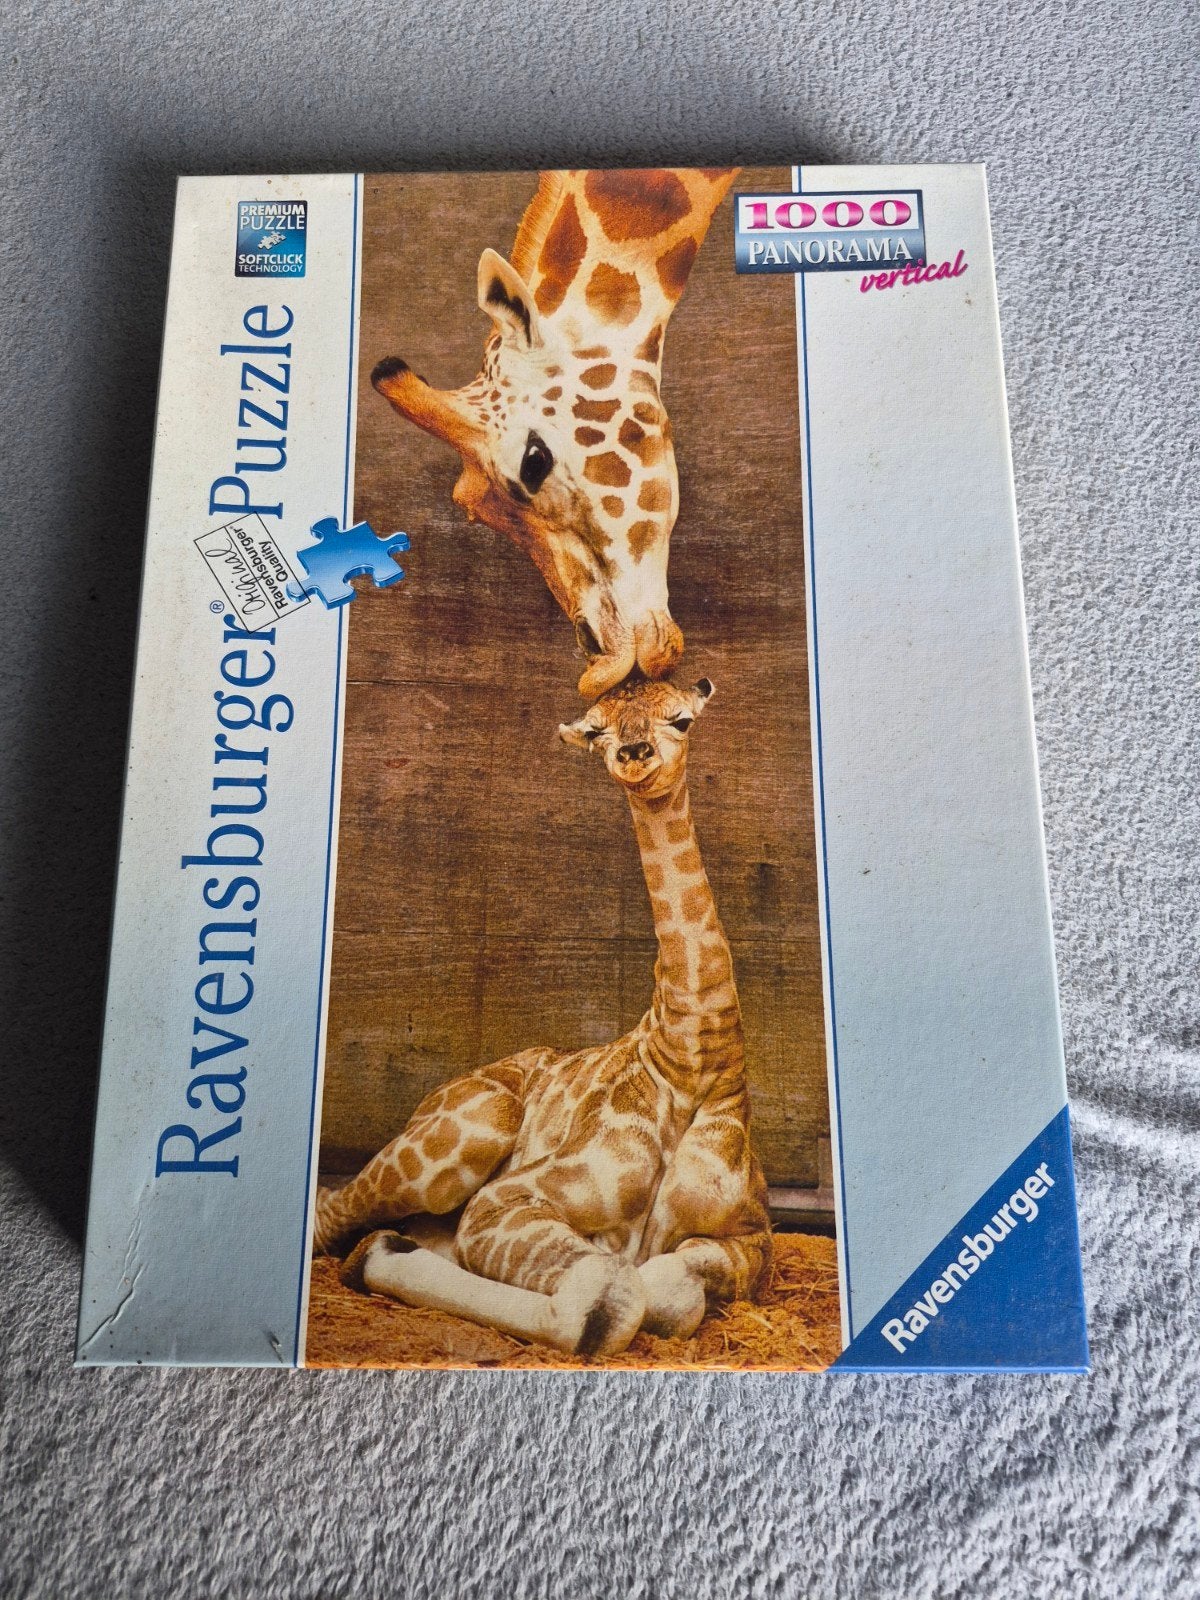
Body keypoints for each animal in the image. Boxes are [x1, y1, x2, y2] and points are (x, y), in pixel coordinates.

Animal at [314, 676, 772, 1357]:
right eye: (596, 731)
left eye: (682, 719)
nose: (634, 754)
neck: (692, 1058)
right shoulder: (505, 1200)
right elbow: (611, 1294)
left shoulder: (755, 1237)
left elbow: (670, 1290)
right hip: (472, 1129)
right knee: (331, 1214)